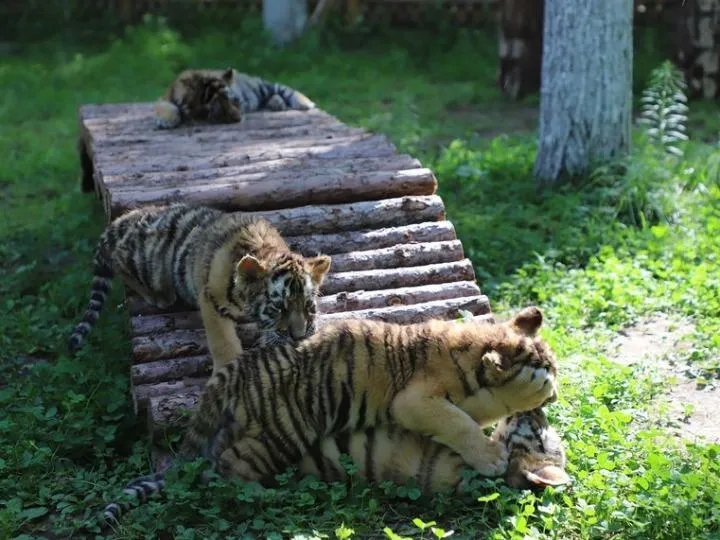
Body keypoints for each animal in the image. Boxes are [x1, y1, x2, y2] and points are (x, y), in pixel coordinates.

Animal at [67, 203, 331, 371]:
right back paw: (158, 295)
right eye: (279, 308)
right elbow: (222, 341)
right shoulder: (211, 299)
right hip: (148, 263)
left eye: (309, 307)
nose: (298, 336)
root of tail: (122, 219)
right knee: (118, 261)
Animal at [154, 68, 315, 130]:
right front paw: (166, 120)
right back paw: (277, 103)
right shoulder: (164, 99)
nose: (238, 118)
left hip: (261, 85)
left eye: (236, 100)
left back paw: (305, 103)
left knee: (282, 89)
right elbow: (167, 106)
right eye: (216, 110)